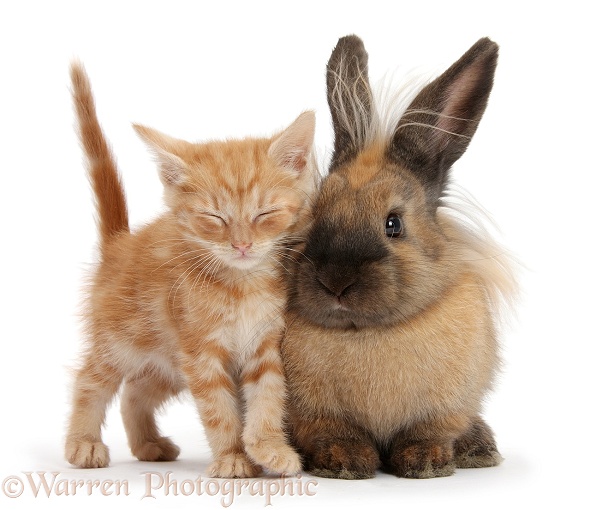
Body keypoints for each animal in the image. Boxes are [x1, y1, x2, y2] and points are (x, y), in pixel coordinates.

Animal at [66, 63, 316, 478]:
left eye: (264, 214)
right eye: (214, 218)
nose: (242, 245)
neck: (241, 287)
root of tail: (119, 246)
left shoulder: (266, 344)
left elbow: (268, 395)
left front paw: (268, 447)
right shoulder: (201, 354)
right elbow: (218, 409)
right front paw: (233, 457)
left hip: (167, 360)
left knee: (134, 392)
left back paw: (148, 444)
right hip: (122, 340)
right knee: (91, 380)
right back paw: (82, 443)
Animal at [282, 34, 516, 478]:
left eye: (394, 224)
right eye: (314, 213)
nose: (336, 280)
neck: (366, 332)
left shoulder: (445, 407)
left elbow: (429, 430)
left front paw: (425, 461)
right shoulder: (313, 415)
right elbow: (332, 432)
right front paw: (344, 462)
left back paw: (480, 449)